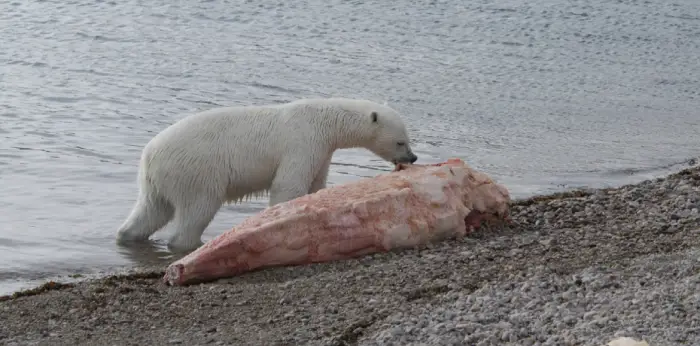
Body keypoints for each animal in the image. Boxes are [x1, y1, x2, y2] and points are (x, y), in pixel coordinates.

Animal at [117, 97, 418, 251]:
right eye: (401, 142)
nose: (412, 157)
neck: (325, 120)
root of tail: (149, 156)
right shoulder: (302, 141)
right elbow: (289, 184)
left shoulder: (321, 150)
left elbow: (316, 183)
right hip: (196, 170)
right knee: (197, 209)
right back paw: (190, 244)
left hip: (158, 180)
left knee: (151, 210)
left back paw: (128, 234)